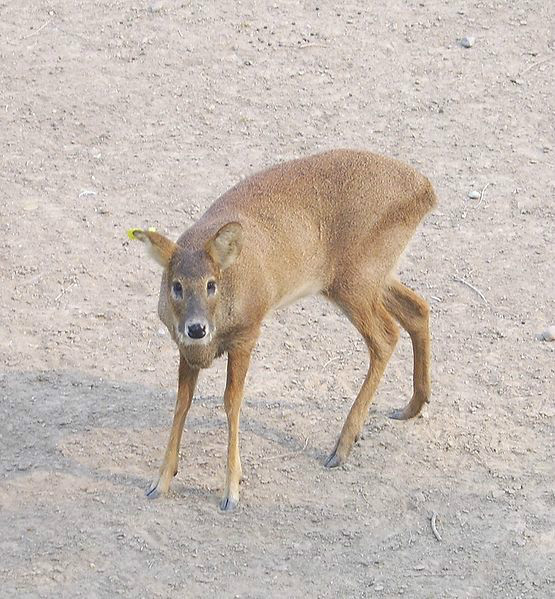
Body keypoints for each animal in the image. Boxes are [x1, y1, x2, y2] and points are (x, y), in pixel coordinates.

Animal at [130, 150, 438, 510]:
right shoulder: (185, 350)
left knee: (386, 336)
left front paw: (231, 490)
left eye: (211, 284)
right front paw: (160, 481)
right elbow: (182, 403)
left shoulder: (248, 333)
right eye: (176, 285)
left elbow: (231, 403)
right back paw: (412, 405)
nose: (196, 328)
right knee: (418, 308)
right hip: (373, 276)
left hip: (355, 278)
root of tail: (426, 191)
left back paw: (342, 447)